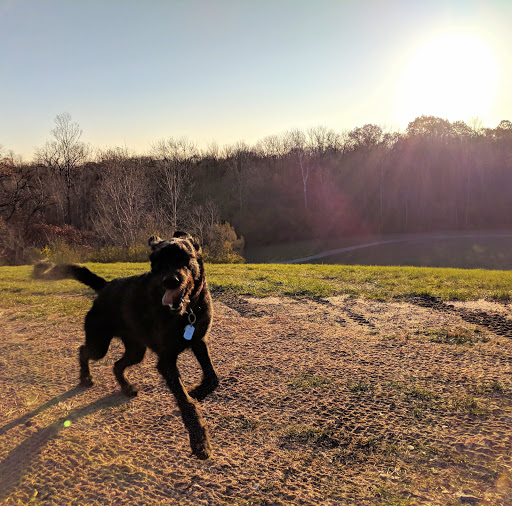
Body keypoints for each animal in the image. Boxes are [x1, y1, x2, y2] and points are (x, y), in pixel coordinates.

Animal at [32, 231, 218, 460]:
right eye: (156, 263)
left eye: (184, 257)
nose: (170, 281)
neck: (187, 312)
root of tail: (105, 286)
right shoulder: (166, 361)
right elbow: (185, 402)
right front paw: (200, 440)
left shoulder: (198, 341)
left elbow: (212, 378)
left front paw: (197, 391)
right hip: (100, 344)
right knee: (83, 351)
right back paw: (85, 377)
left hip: (136, 350)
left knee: (116, 365)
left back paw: (126, 387)